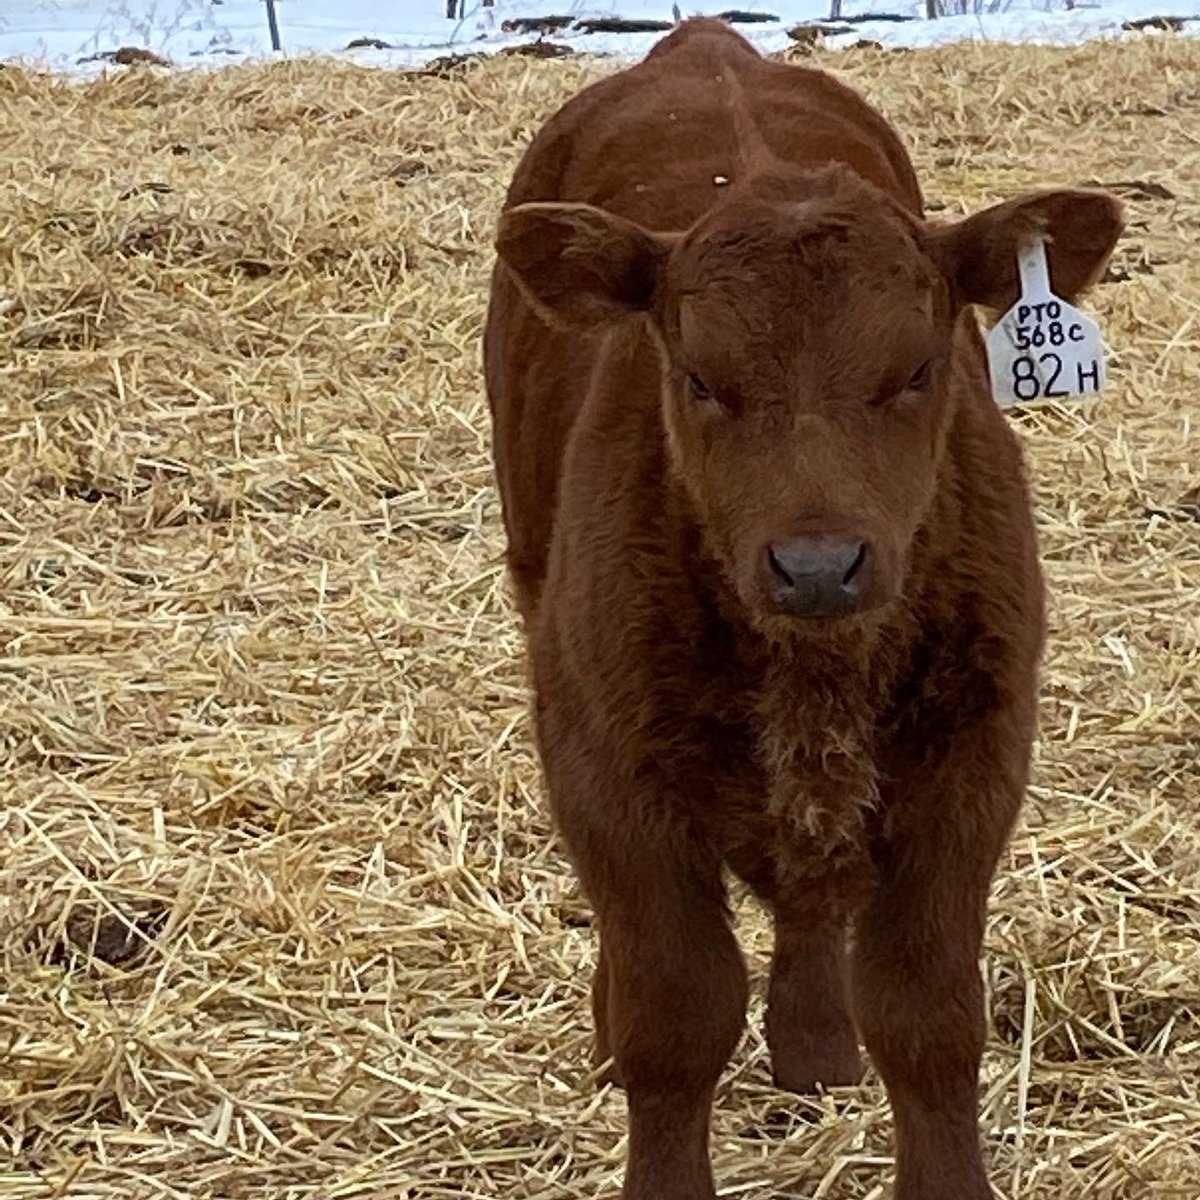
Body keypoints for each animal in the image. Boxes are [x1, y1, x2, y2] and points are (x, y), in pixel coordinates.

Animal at [482, 18, 1121, 1200]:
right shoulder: (602, 766)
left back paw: (817, 1045)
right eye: (697, 378)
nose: (818, 566)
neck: (814, 669)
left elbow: (927, 1016)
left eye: (918, 368)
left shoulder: (976, 761)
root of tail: (705, 46)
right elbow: (675, 1012)